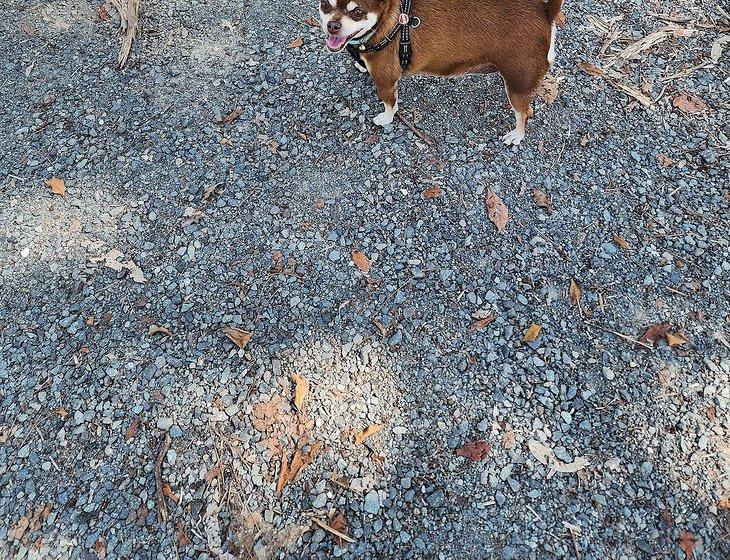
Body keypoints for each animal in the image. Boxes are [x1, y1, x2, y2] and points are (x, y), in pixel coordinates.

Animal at [316, 1, 560, 144]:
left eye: (358, 11)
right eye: (326, 5)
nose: (333, 26)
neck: (387, 20)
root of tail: (546, 12)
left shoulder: (385, 80)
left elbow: (390, 104)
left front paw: (386, 118)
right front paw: (361, 64)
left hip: (519, 85)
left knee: (524, 113)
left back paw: (516, 136)